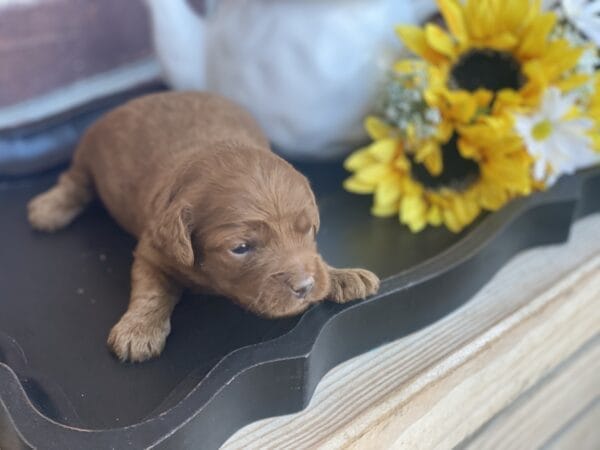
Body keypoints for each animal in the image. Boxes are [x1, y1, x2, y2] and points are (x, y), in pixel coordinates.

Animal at [29, 91, 380, 362]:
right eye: (240, 248)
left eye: (307, 230)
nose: (305, 287)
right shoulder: (152, 251)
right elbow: (152, 291)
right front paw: (138, 330)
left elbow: (317, 260)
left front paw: (342, 275)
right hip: (87, 153)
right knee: (74, 182)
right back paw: (49, 209)